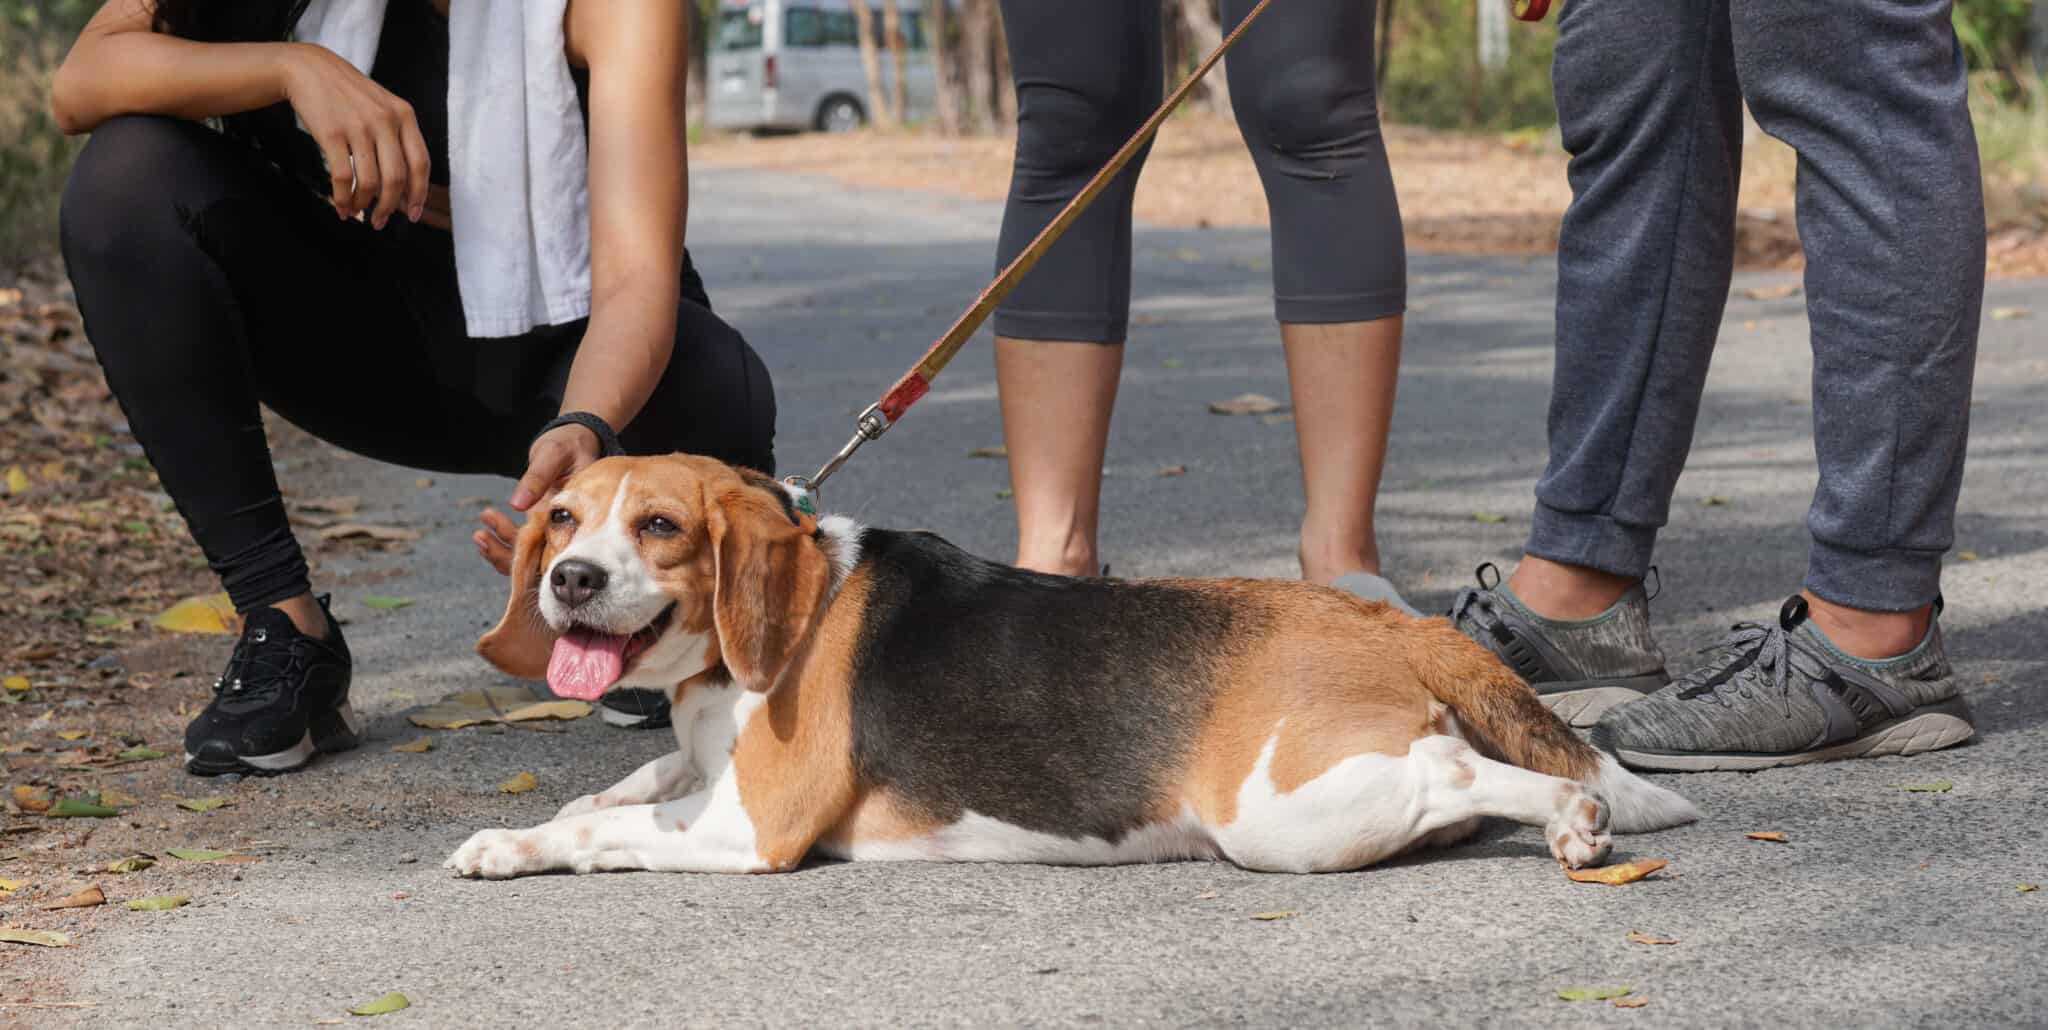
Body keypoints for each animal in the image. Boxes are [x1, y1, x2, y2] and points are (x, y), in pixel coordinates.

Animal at [448, 456, 1695, 880]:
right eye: (563, 518)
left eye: (658, 526)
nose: (569, 580)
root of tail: (1381, 620)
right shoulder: (705, 777)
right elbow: (618, 787)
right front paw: (534, 822)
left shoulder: (748, 828)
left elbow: (608, 827)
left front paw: (514, 845)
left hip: (1275, 811)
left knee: (1461, 771)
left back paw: (1575, 818)